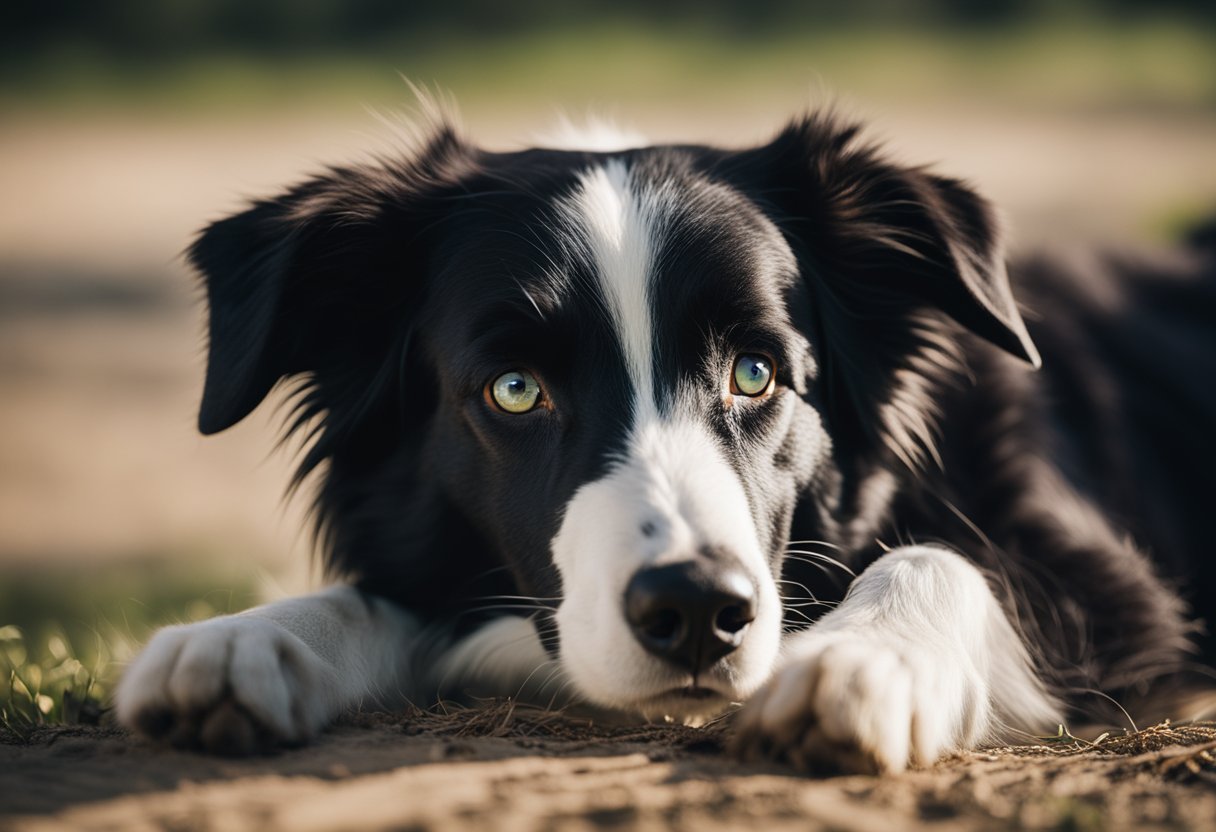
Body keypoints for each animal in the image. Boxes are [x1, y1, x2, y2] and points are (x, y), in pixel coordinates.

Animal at [116, 110, 1216, 773]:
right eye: (514, 390)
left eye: (756, 373)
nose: (694, 611)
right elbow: (386, 595)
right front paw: (246, 637)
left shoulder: (1113, 586)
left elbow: (943, 559)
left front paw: (860, 661)